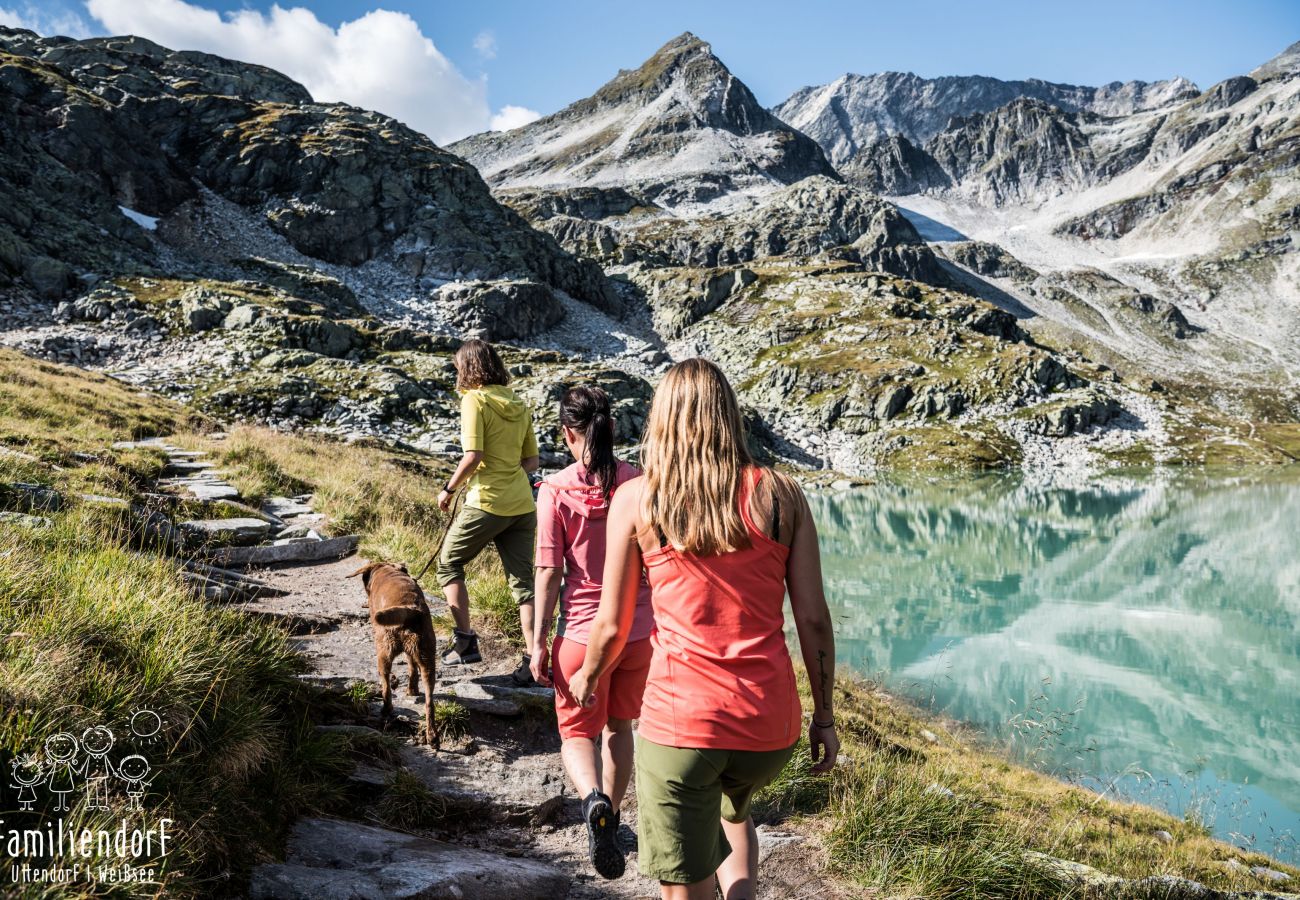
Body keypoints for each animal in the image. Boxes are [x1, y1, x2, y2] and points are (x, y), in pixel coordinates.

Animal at [348, 561, 439, 743]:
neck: (387, 570)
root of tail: (410, 609)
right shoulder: (412, 653)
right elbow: (412, 669)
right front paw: (412, 690)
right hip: (427, 657)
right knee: (429, 701)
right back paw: (432, 735)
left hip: (383, 652)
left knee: (386, 686)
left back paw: (386, 708)